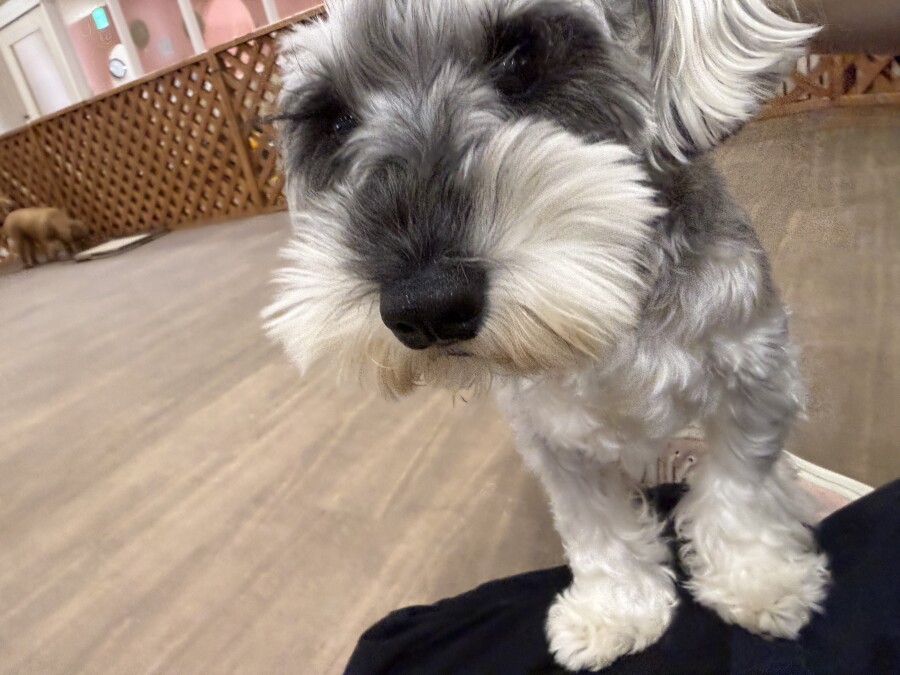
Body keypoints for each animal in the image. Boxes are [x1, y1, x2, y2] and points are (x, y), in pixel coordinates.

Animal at [263, 1, 830, 670]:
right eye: (331, 117)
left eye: (522, 55)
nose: (425, 307)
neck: (613, 301)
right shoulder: (552, 436)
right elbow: (596, 525)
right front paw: (616, 609)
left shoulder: (754, 375)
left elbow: (739, 489)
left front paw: (758, 580)